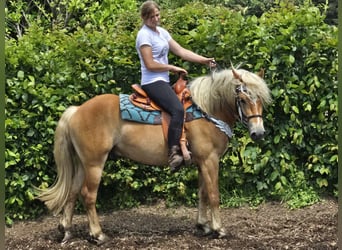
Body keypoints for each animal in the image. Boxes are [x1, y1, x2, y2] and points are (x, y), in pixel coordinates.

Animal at [36, 66, 272, 244]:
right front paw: (218, 229)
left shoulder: (201, 162)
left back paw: (66, 230)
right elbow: (213, 194)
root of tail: (77, 110)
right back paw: (98, 234)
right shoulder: (210, 160)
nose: (258, 133)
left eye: (260, 99)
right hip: (94, 163)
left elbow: (203, 193)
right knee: (88, 195)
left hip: (81, 163)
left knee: (73, 191)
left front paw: (202, 226)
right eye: (242, 99)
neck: (207, 111)